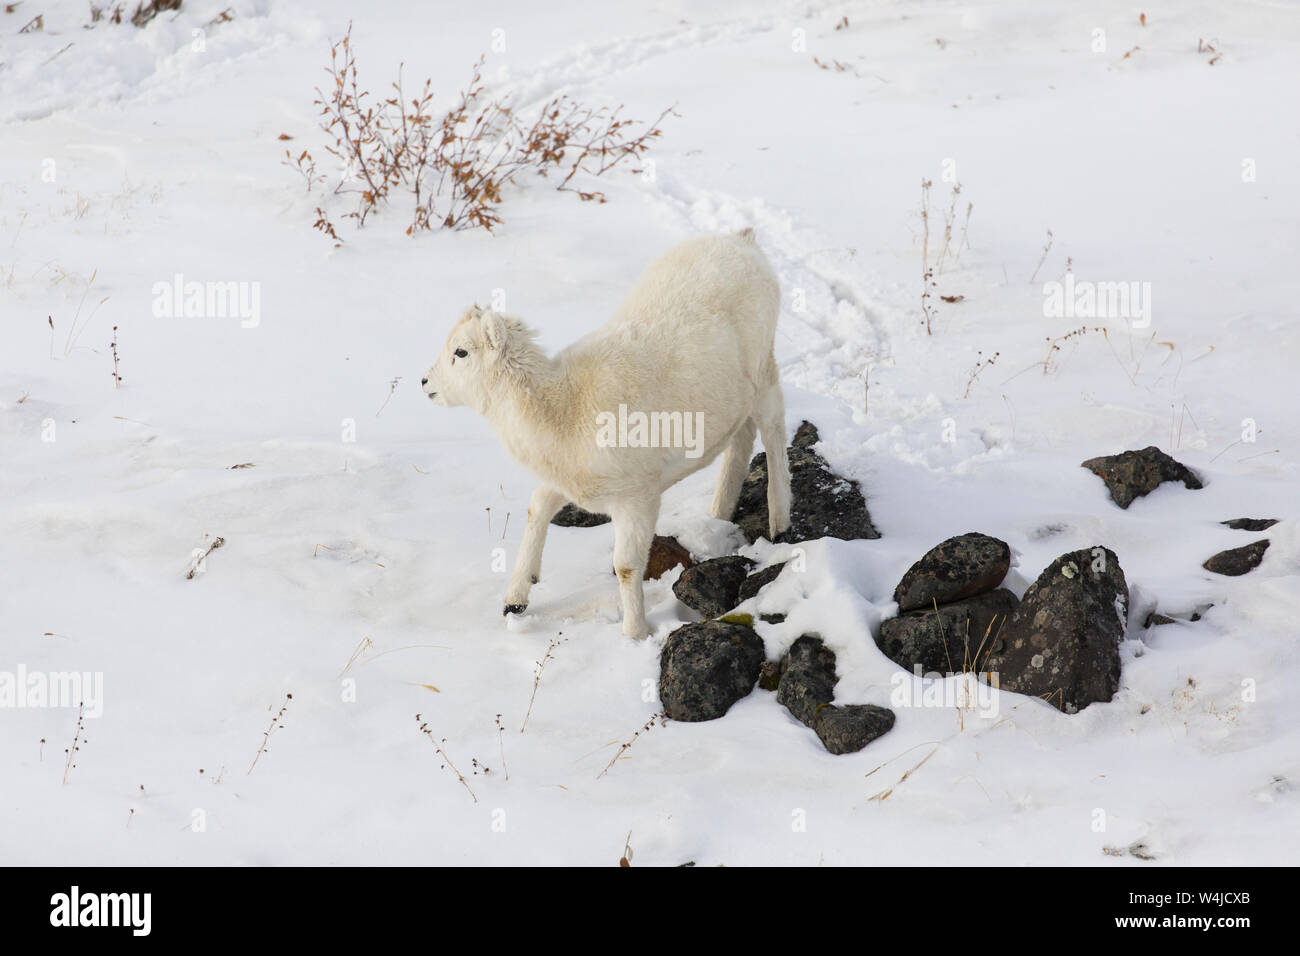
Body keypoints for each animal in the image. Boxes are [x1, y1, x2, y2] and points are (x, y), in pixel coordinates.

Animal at [422, 229, 791, 639]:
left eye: (461, 352)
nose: (425, 383)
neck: (564, 408)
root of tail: (741, 241)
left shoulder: (637, 500)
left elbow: (626, 567)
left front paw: (636, 633)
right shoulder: (568, 484)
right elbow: (538, 506)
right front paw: (516, 599)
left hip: (764, 374)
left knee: (774, 432)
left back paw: (780, 523)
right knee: (741, 440)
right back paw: (720, 511)